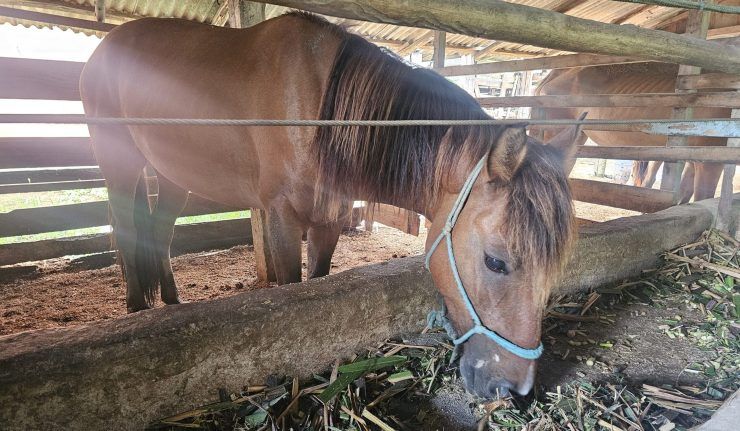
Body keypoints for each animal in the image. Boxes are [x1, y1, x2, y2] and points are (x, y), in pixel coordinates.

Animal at [79, 12, 580, 398]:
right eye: (496, 262)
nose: (513, 388)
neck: (320, 113)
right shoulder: (281, 218)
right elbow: (289, 291)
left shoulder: (329, 222)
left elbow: (317, 287)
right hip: (119, 164)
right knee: (127, 228)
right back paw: (136, 309)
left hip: (172, 175)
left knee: (159, 232)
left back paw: (171, 300)